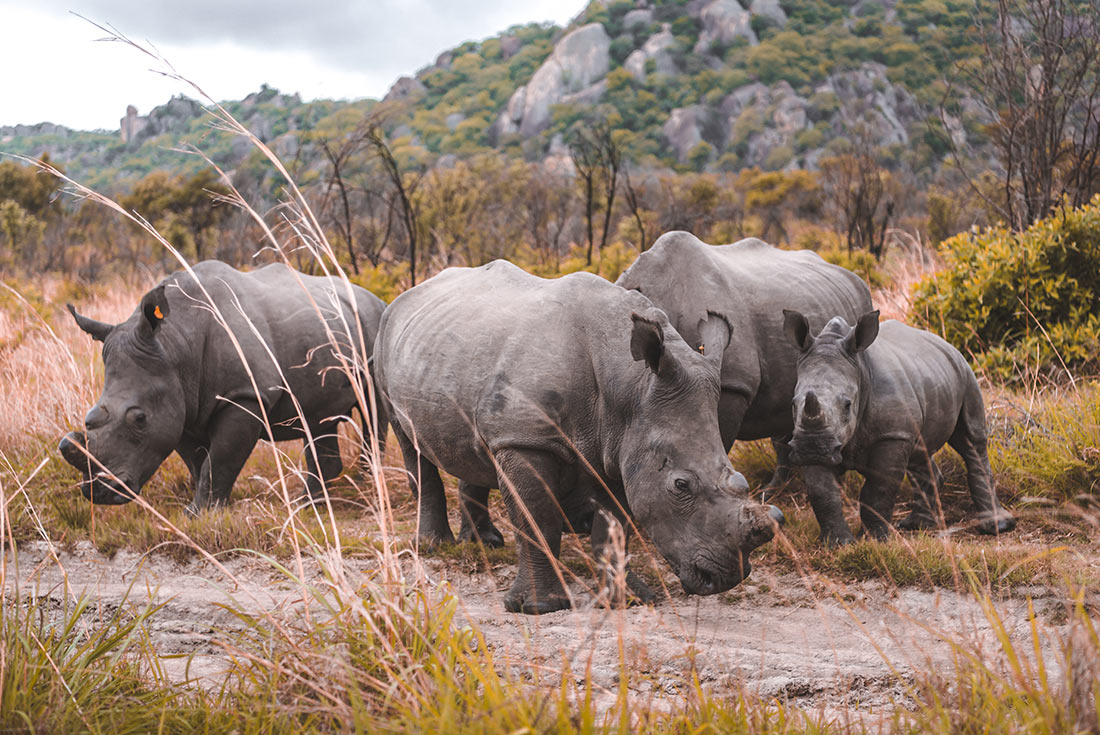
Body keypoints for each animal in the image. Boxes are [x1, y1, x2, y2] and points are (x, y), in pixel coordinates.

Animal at [58, 260, 387, 513]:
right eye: (89, 419)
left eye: (139, 419)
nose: (101, 494)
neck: (175, 344)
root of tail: (374, 296)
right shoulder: (180, 405)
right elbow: (198, 461)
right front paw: (209, 511)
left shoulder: (244, 396)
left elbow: (220, 458)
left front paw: (198, 513)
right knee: (318, 417)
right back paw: (307, 505)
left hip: (373, 325)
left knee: (373, 412)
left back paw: (366, 484)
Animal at [373, 260, 783, 614]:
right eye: (680, 485)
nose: (725, 578)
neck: (629, 385)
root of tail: (406, 295)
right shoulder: (526, 438)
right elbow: (537, 520)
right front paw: (539, 607)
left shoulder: (618, 446)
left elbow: (614, 526)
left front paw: (627, 601)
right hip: (382, 345)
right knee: (410, 443)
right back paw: (433, 546)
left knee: (475, 446)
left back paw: (483, 544)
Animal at [783, 309, 1017, 544]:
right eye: (793, 403)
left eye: (848, 405)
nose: (812, 446)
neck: (860, 370)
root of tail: (946, 343)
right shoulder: (811, 439)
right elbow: (823, 492)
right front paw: (838, 543)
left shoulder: (892, 435)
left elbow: (878, 489)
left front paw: (875, 540)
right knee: (920, 453)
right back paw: (917, 525)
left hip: (966, 373)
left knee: (971, 441)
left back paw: (998, 527)